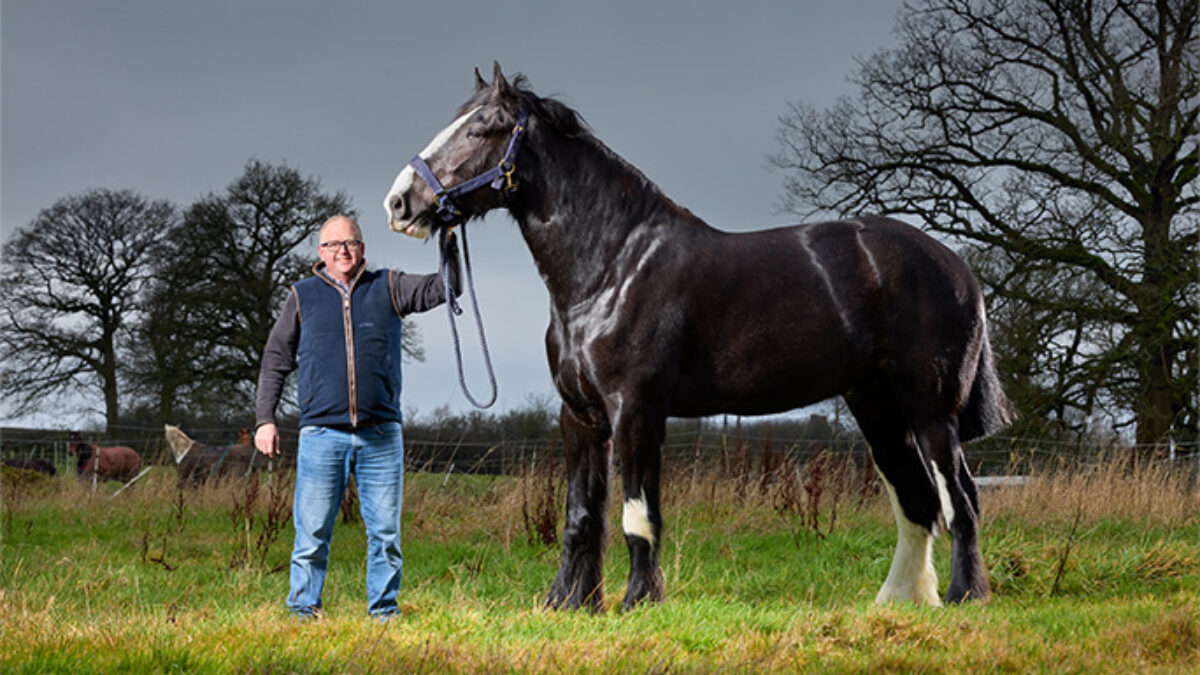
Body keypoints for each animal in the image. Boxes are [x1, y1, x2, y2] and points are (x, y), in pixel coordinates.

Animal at [384, 63, 1014, 612]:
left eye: (481, 129)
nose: (400, 201)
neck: (612, 265)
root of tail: (956, 268)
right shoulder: (579, 416)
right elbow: (581, 515)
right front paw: (567, 603)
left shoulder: (636, 410)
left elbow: (638, 515)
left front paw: (638, 601)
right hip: (878, 410)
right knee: (917, 503)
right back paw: (899, 600)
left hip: (931, 412)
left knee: (960, 500)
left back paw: (965, 595)